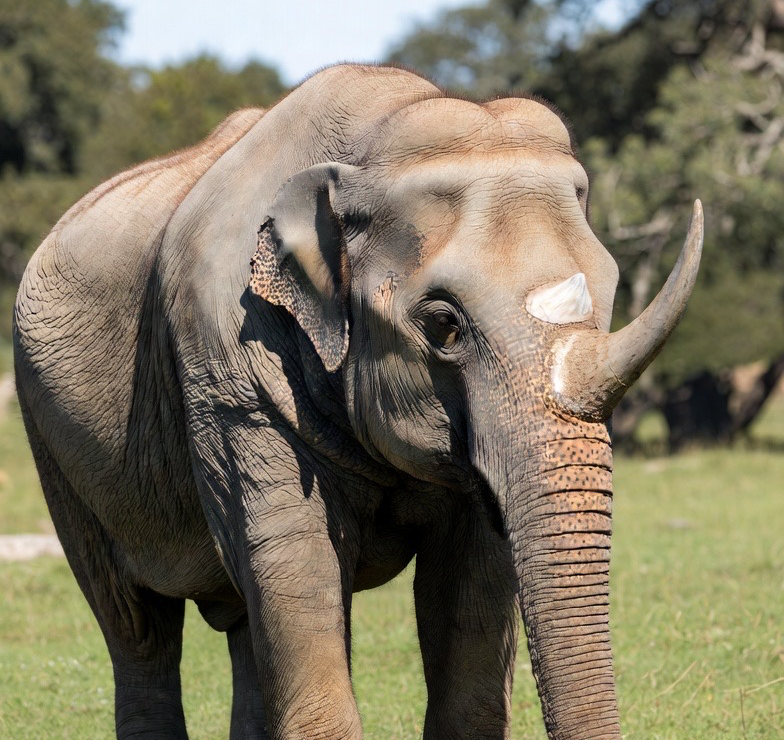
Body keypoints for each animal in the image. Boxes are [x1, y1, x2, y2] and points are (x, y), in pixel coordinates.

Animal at [13, 64, 703, 740]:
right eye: (444, 324)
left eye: (611, 294)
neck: (374, 141)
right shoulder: (228, 369)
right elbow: (298, 566)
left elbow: (469, 589)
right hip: (51, 440)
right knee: (136, 627)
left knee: (242, 625)